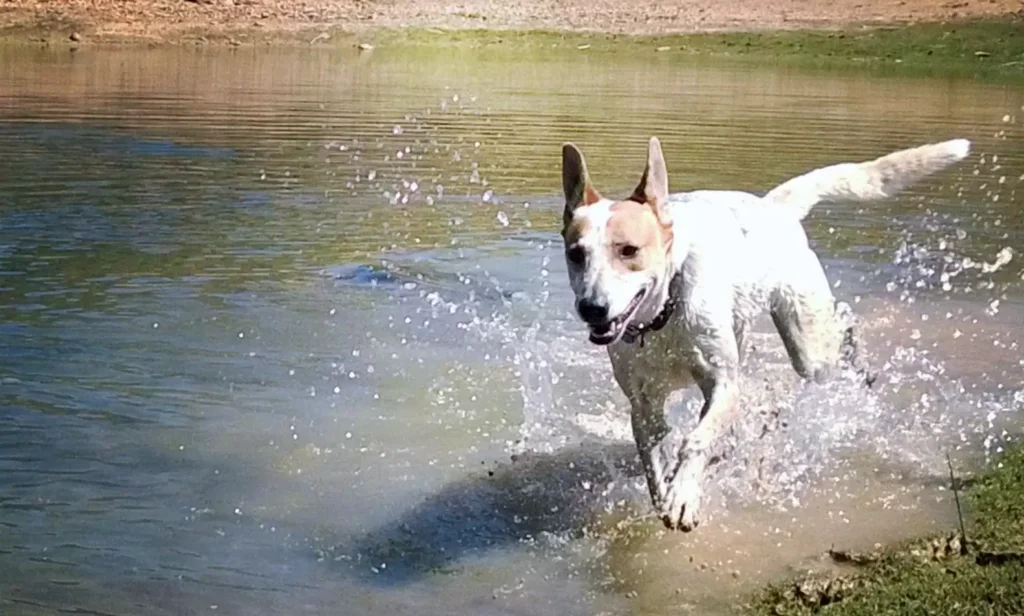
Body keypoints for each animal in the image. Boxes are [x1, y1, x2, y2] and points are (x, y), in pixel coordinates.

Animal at [561, 137, 966, 528]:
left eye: (629, 250)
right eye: (575, 254)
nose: (591, 308)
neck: (663, 316)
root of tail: (774, 209)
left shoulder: (724, 385)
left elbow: (696, 440)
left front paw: (684, 495)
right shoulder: (643, 404)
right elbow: (654, 457)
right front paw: (667, 493)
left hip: (808, 345)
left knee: (842, 322)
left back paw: (856, 353)